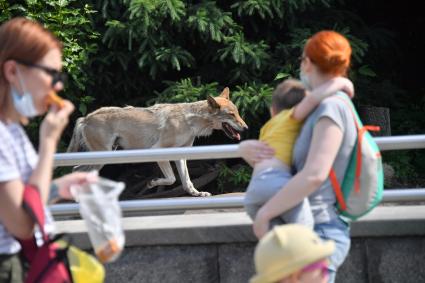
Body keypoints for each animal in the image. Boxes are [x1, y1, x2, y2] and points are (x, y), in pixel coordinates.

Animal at [66, 88, 248, 197]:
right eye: (231, 114)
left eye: (238, 112)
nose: (246, 127)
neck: (190, 121)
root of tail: (85, 118)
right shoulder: (159, 151)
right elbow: (172, 179)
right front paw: (153, 183)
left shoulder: (181, 155)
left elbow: (187, 181)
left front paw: (197, 193)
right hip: (103, 157)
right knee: (76, 171)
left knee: (77, 171)